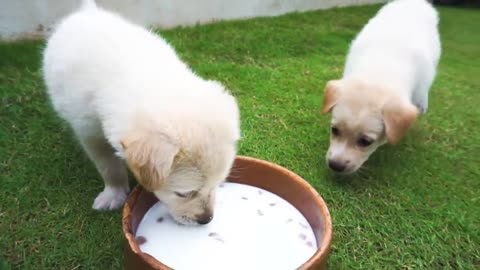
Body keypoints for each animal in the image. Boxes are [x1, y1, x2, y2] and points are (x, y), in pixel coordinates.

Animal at [43, 0, 240, 226]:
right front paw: (113, 193)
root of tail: (89, 11)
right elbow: (108, 166)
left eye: (219, 183)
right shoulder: (88, 131)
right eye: (183, 193)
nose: (206, 220)